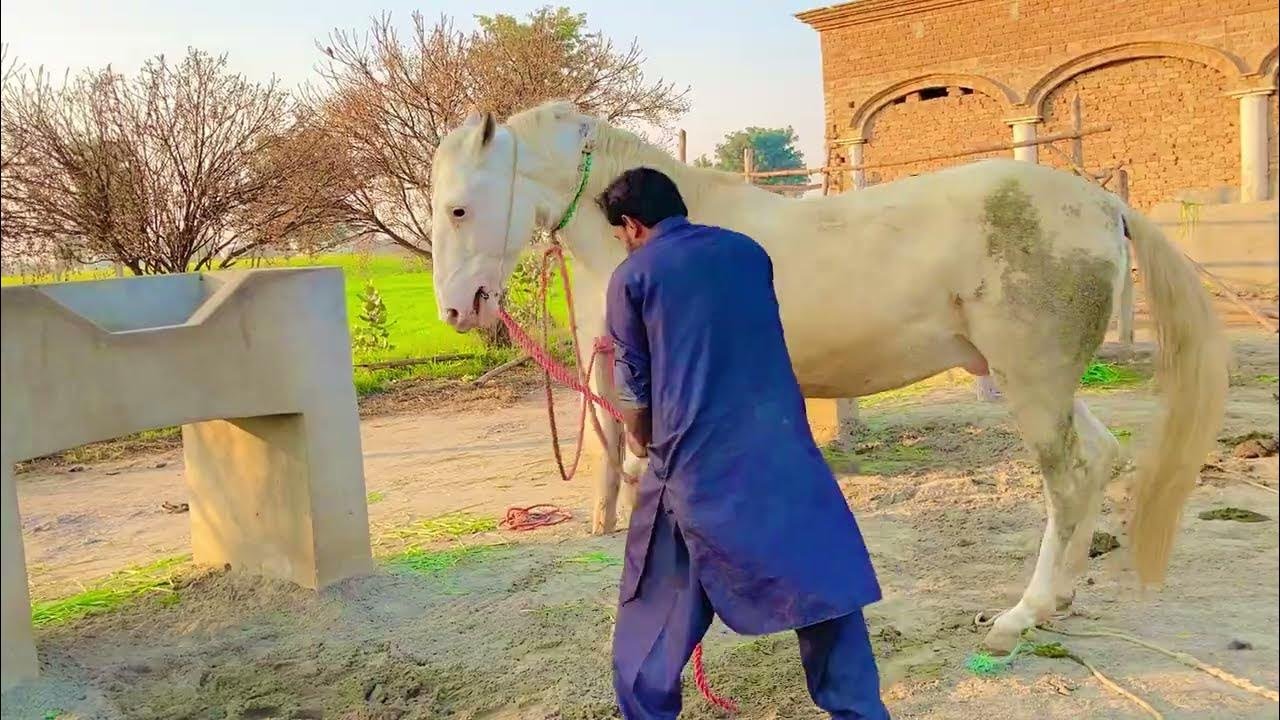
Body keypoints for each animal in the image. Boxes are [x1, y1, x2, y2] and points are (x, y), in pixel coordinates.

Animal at [427, 100, 1228, 652]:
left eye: (459, 209)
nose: (458, 310)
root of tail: (1104, 202)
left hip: (1032, 384)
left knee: (1066, 482)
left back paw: (1019, 616)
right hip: (1047, 386)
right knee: (1099, 461)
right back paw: (1057, 603)